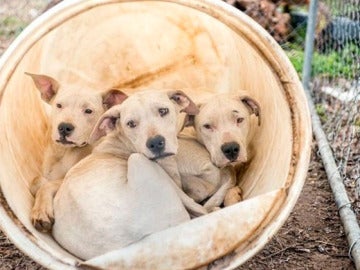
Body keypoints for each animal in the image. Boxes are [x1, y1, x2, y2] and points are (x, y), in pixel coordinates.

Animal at [26, 73, 125, 231]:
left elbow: (47, 185)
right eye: (59, 105)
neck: (64, 152)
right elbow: (36, 180)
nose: (64, 127)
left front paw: (40, 211)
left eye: (88, 111)